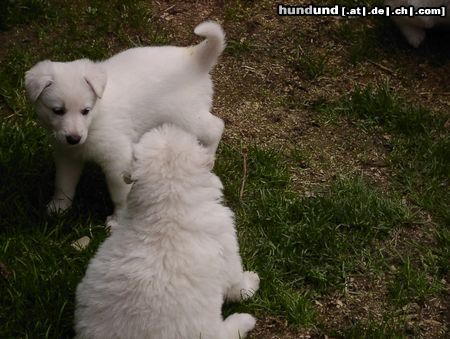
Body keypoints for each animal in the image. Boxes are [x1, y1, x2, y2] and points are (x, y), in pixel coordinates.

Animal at [24, 21, 225, 223]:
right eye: (57, 111)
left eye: (85, 111)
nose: (74, 139)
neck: (96, 118)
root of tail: (195, 58)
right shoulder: (67, 155)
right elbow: (63, 184)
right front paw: (58, 208)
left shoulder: (117, 160)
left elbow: (120, 195)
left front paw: (118, 219)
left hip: (186, 116)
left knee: (215, 127)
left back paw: (207, 159)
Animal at [74, 125, 260, 339]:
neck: (167, 211)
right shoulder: (228, 252)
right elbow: (238, 286)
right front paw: (252, 282)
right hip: (209, 331)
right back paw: (244, 320)